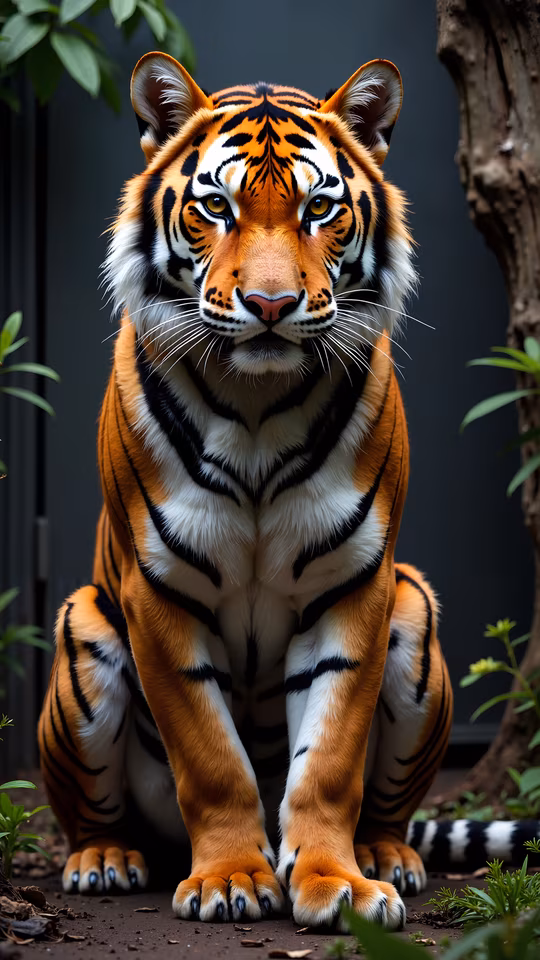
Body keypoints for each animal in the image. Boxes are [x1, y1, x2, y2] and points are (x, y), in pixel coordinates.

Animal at [37, 51, 455, 932]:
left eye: (319, 208)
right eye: (216, 207)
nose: (269, 306)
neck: (259, 405)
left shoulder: (356, 587)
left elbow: (328, 763)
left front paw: (336, 883)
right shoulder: (157, 593)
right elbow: (211, 756)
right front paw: (231, 878)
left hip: (414, 609)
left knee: (389, 806)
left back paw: (387, 857)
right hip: (83, 628)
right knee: (89, 811)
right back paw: (104, 861)